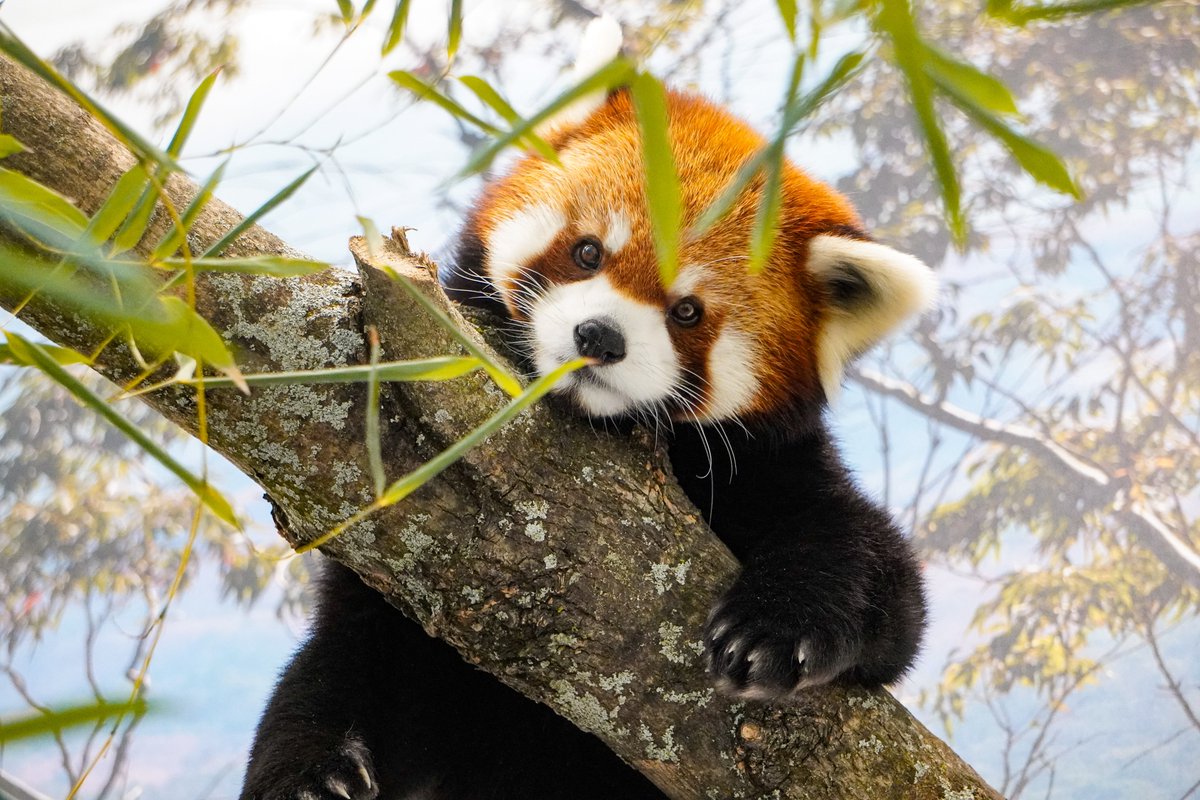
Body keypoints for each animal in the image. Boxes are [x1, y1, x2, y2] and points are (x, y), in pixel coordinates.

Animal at [243, 14, 931, 800]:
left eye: (688, 312)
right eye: (587, 252)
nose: (599, 337)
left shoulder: (768, 464)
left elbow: (884, 582)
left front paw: (775, 629)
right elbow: (359, 661)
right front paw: (310, 769)